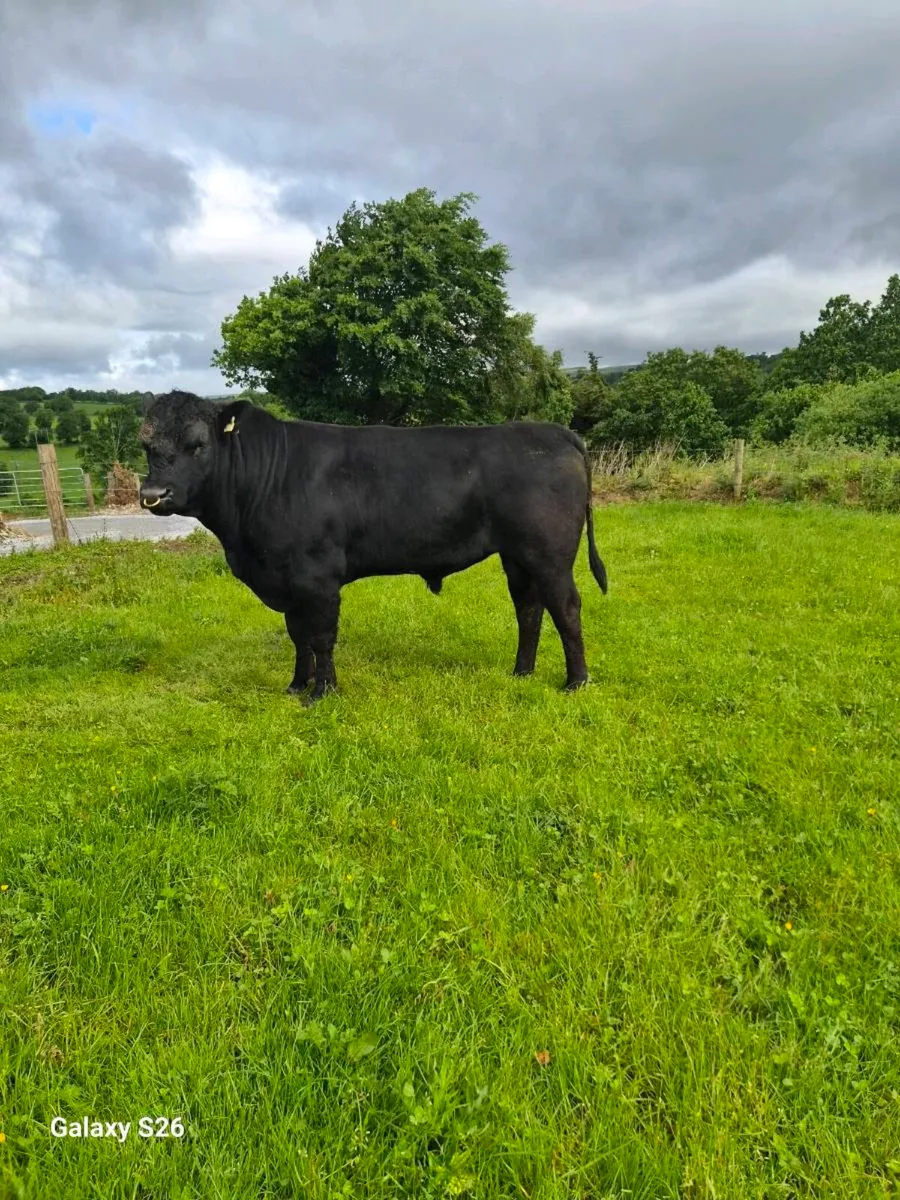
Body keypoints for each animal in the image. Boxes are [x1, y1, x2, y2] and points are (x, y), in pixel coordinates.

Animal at [138, 391, 608, 703]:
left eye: (198, 444)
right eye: (146, 445)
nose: (153, 495)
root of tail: (554, 432)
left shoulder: (317, 577)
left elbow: (320, 637)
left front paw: (322, 692)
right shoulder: (288, 582)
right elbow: (297, 636)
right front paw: (296, 685)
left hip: (549, 554)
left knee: (566, 608)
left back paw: (575, 682)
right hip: (517, 557)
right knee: (529, 609)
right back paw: (521, 673)